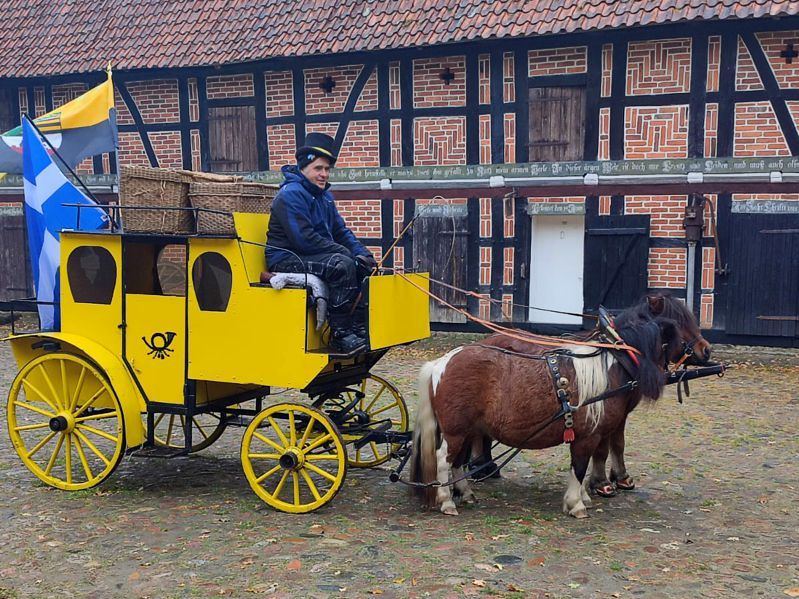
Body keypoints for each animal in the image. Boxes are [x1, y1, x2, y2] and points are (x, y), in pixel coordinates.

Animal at [409, 293, 709, 518]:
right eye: (681, 324)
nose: (706, 350)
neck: (611, 364)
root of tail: (441, 362)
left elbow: (595, 458)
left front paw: (589, 494)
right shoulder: (588, 435)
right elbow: (580, 466)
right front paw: (577, 503)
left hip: (468, 430)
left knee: (458, 462)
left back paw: (466, 492)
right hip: (456, 431)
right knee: (443, 460)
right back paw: (447, 500)